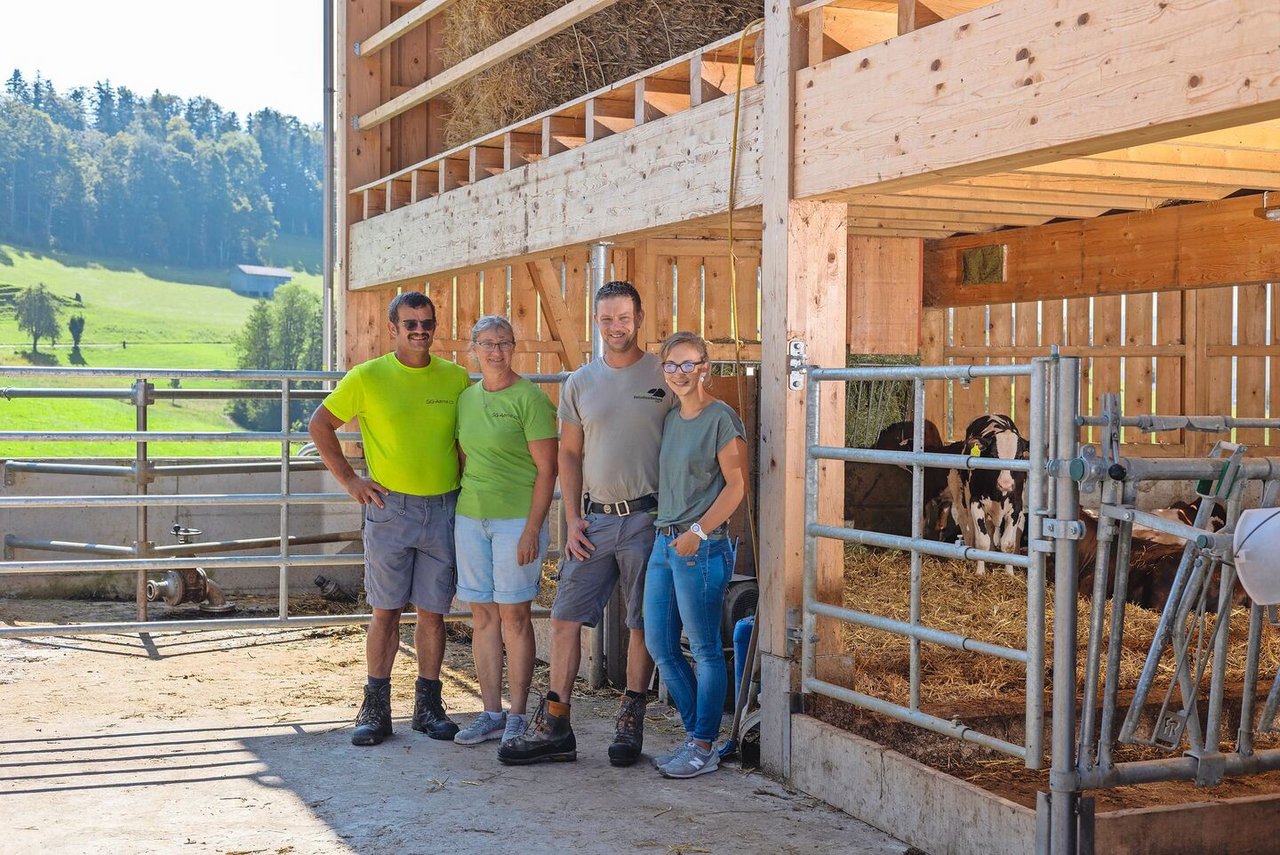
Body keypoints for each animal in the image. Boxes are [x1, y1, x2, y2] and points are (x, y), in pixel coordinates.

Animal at [952, 414, 1029, 573]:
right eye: (993, 455)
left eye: (1019, 456)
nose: (1005, 484)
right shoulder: (976, 502)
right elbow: (982, 542)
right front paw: (980, 572)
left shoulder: (1016, 505)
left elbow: (1008, 544)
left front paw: (1009, 573)